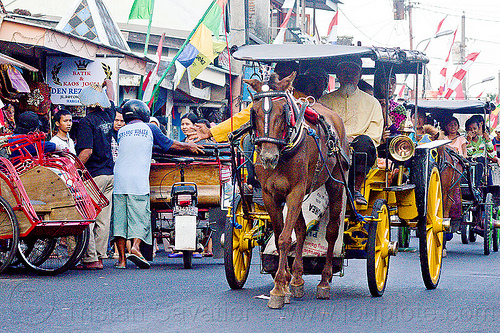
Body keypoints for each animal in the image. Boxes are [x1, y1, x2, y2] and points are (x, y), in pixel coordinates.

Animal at [245, 73, 348, 308]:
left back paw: (324, 282)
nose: (268, 158)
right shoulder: (270, 195)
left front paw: (277, 289)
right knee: (300, 230)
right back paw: (298, 279)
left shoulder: (295, 192)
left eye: (282, 112)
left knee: (331, 231)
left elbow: (284, 239)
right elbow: (281, 236)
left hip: (335, 182)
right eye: (254, 112)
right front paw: (285, 284)